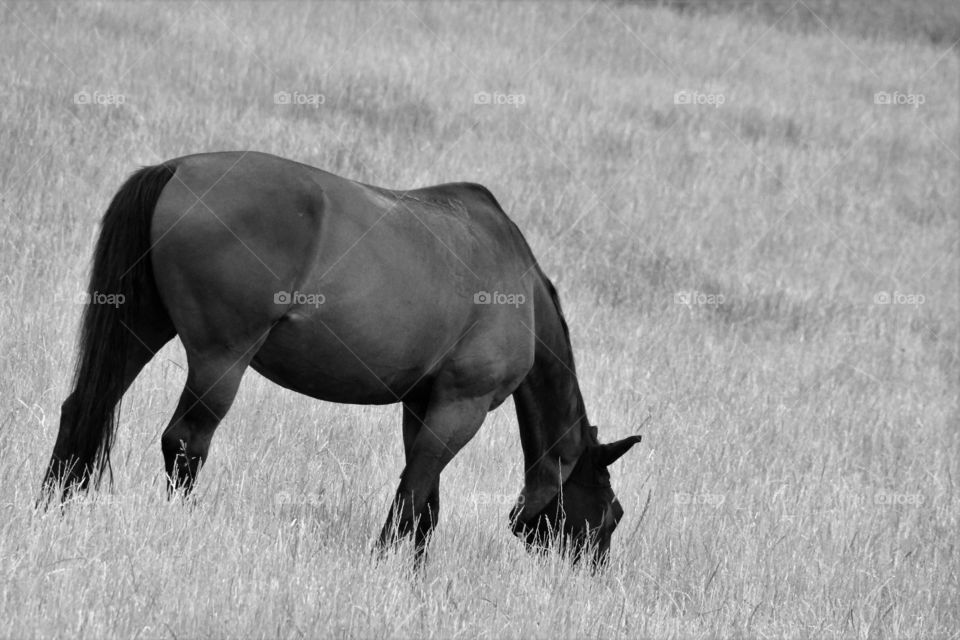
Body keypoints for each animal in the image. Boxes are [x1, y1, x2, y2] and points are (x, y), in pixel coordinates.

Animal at [41, 151, 642, 567]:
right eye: (610, 516)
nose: (592, 574)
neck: (519, 288)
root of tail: (175, 169)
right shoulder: (461, 407)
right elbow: (412, 494)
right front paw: (382, 567)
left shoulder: (423, 405)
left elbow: (425, 503)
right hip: (220, 360)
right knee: (186, 442)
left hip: (139, 330)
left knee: (84, 408)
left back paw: (52, 509)